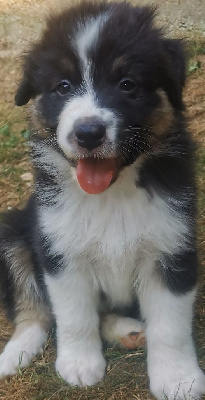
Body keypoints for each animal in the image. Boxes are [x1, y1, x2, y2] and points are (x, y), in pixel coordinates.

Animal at [0, 1, 205, 398]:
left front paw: (178, 379)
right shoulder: (59, 249)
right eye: (62, 86)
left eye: (127, 85)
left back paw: (128, 330)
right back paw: (15, 353)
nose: (88, 133)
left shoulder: (172, 245)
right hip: (12, 231)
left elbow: (170, 325)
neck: (113, 192)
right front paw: (79, 365)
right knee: (35, 311)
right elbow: (74, 314)